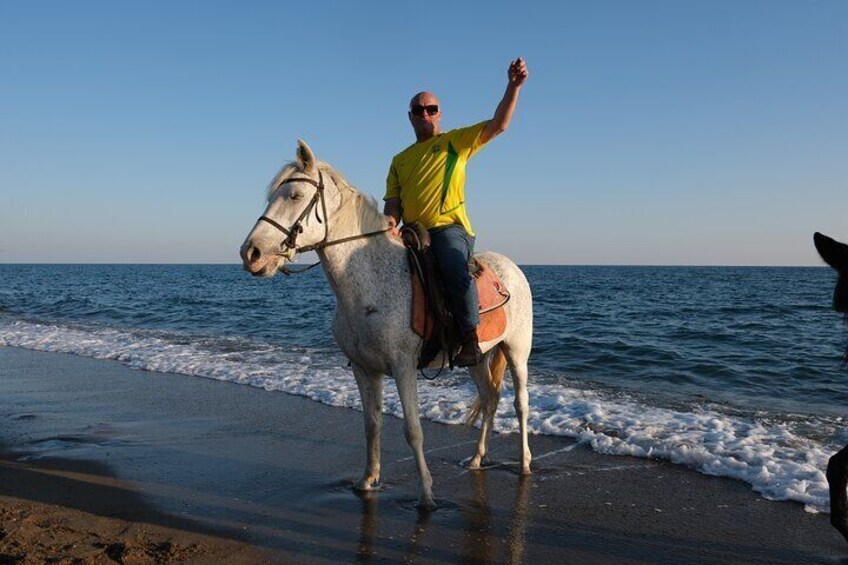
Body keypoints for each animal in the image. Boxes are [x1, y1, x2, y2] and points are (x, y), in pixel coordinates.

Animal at [238, 140, 528, 506]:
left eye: (294, 196)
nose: (251, 253)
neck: (369, 284)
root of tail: (512, 267)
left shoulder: (404, 368)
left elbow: (413, 431)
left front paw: (426, 494)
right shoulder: (364, 369)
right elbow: (371, 425)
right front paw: (368, 480)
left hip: (517, 351)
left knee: (520, 404)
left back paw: (525, 463)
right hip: (475, 358)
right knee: (489, 398)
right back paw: (477, 457)